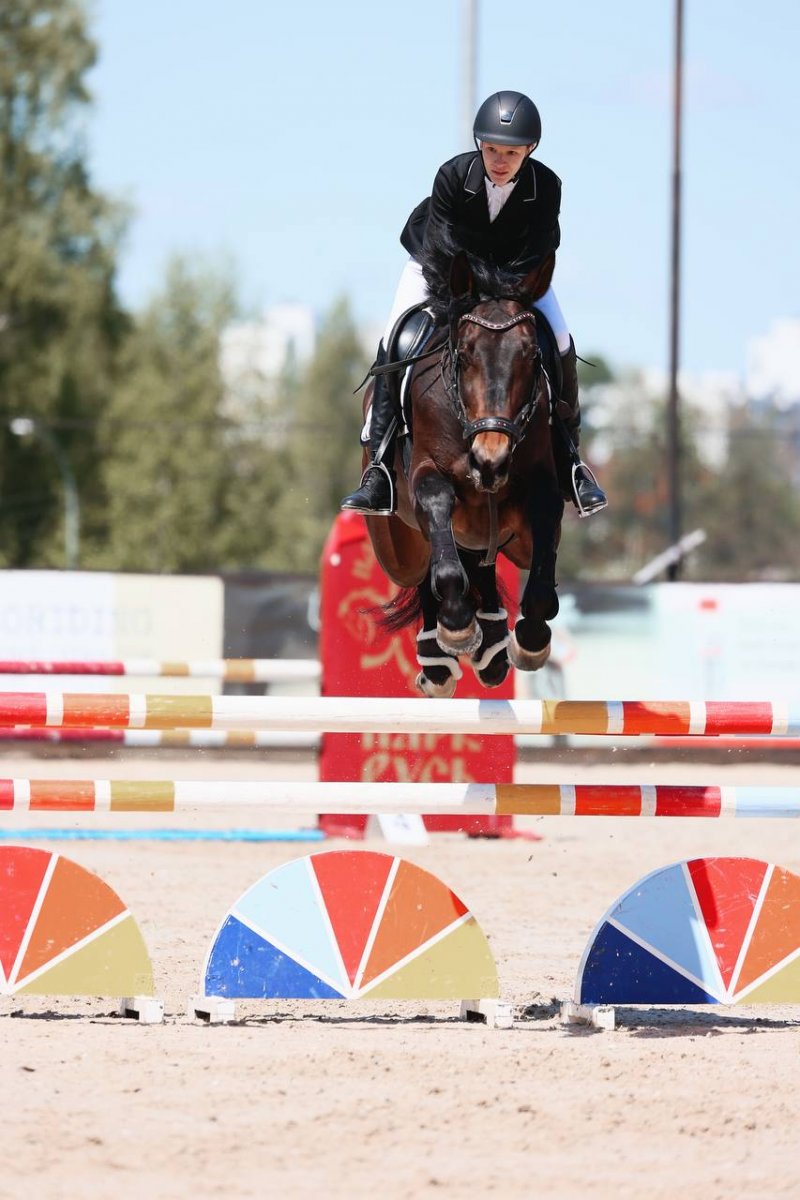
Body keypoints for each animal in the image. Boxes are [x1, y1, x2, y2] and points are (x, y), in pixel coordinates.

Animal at [364, 249, 564, 698]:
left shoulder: (540, 494)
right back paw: (439, 658)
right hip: (396, 548)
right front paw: (456, 625)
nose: (491, 460)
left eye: (531, 355)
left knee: (480, 561)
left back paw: (492, 648)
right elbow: (439, 516)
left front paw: (530, 640)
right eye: (466, 354)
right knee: (427, 563)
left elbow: (541, 570)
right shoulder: (427, 477)